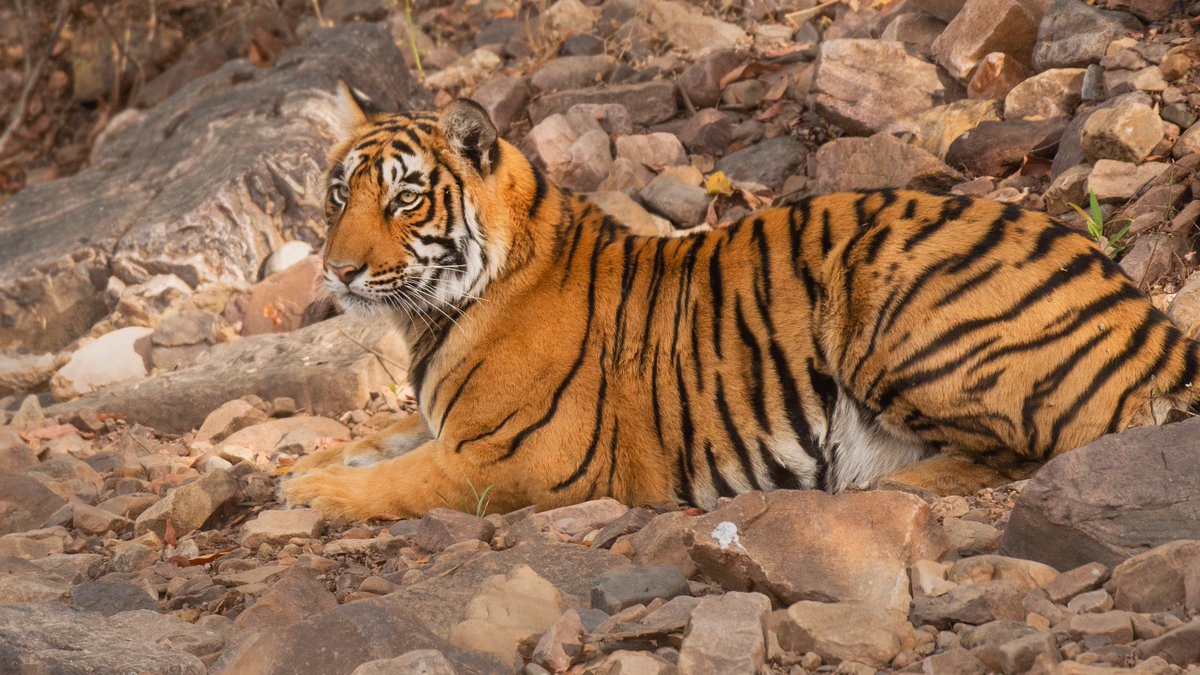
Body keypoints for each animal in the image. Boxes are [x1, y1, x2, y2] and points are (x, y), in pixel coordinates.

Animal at [283, 81, 1200, 516]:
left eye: (405, 200)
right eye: (338, 195)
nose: (337, 271)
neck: (434, 316)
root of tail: (1147, 317)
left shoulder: (520, 457)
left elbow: (403, 478)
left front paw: (308, 498)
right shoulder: (446, 422)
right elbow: (382, 439)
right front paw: (301, 468)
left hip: (893, 310)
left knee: (1030, 449)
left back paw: (871, 485)